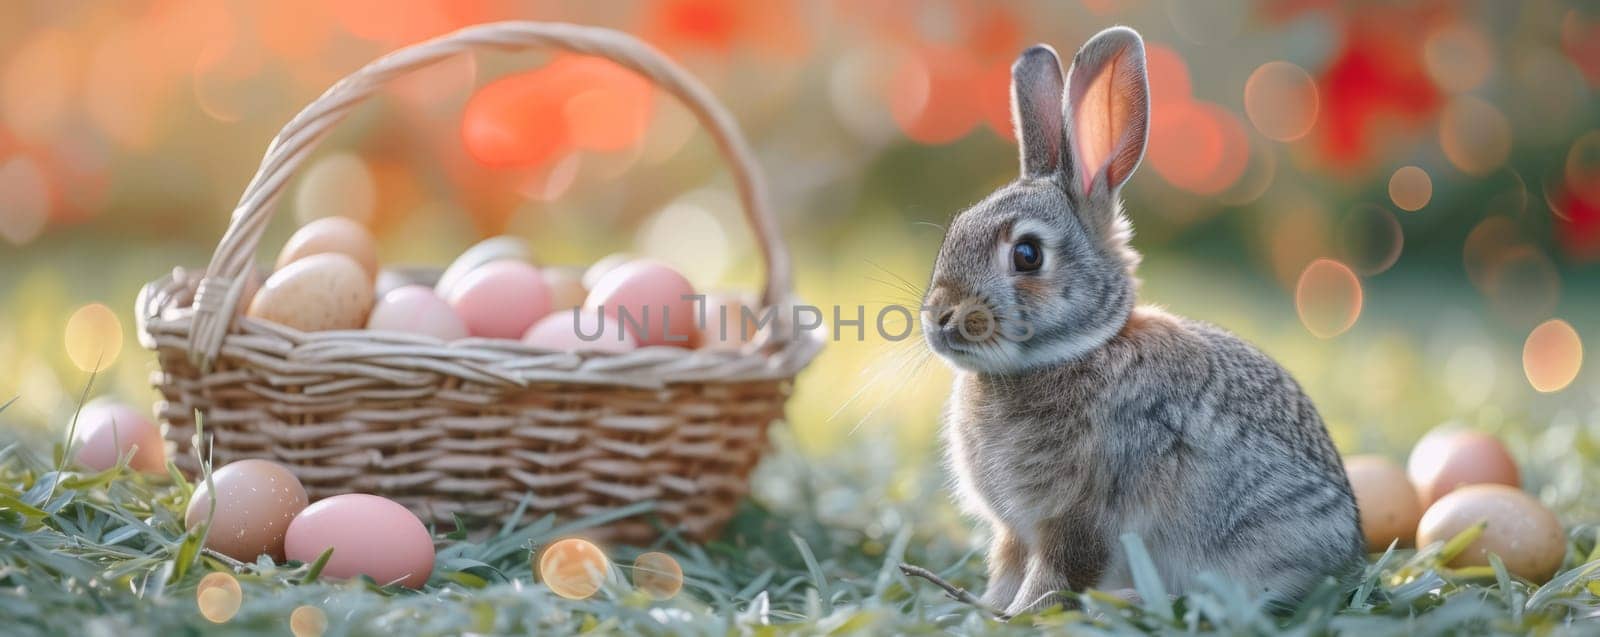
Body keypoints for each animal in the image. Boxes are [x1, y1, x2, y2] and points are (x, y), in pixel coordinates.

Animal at [921, 27, 1356, 620]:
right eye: (956, 230)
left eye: (1028, 255)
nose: (940, 317)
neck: (1078, 350)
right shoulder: (1015, 529)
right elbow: (1007, 566)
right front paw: (985, 607)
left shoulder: (1081, 515)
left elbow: (1055, 575)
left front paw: (1019, 616)